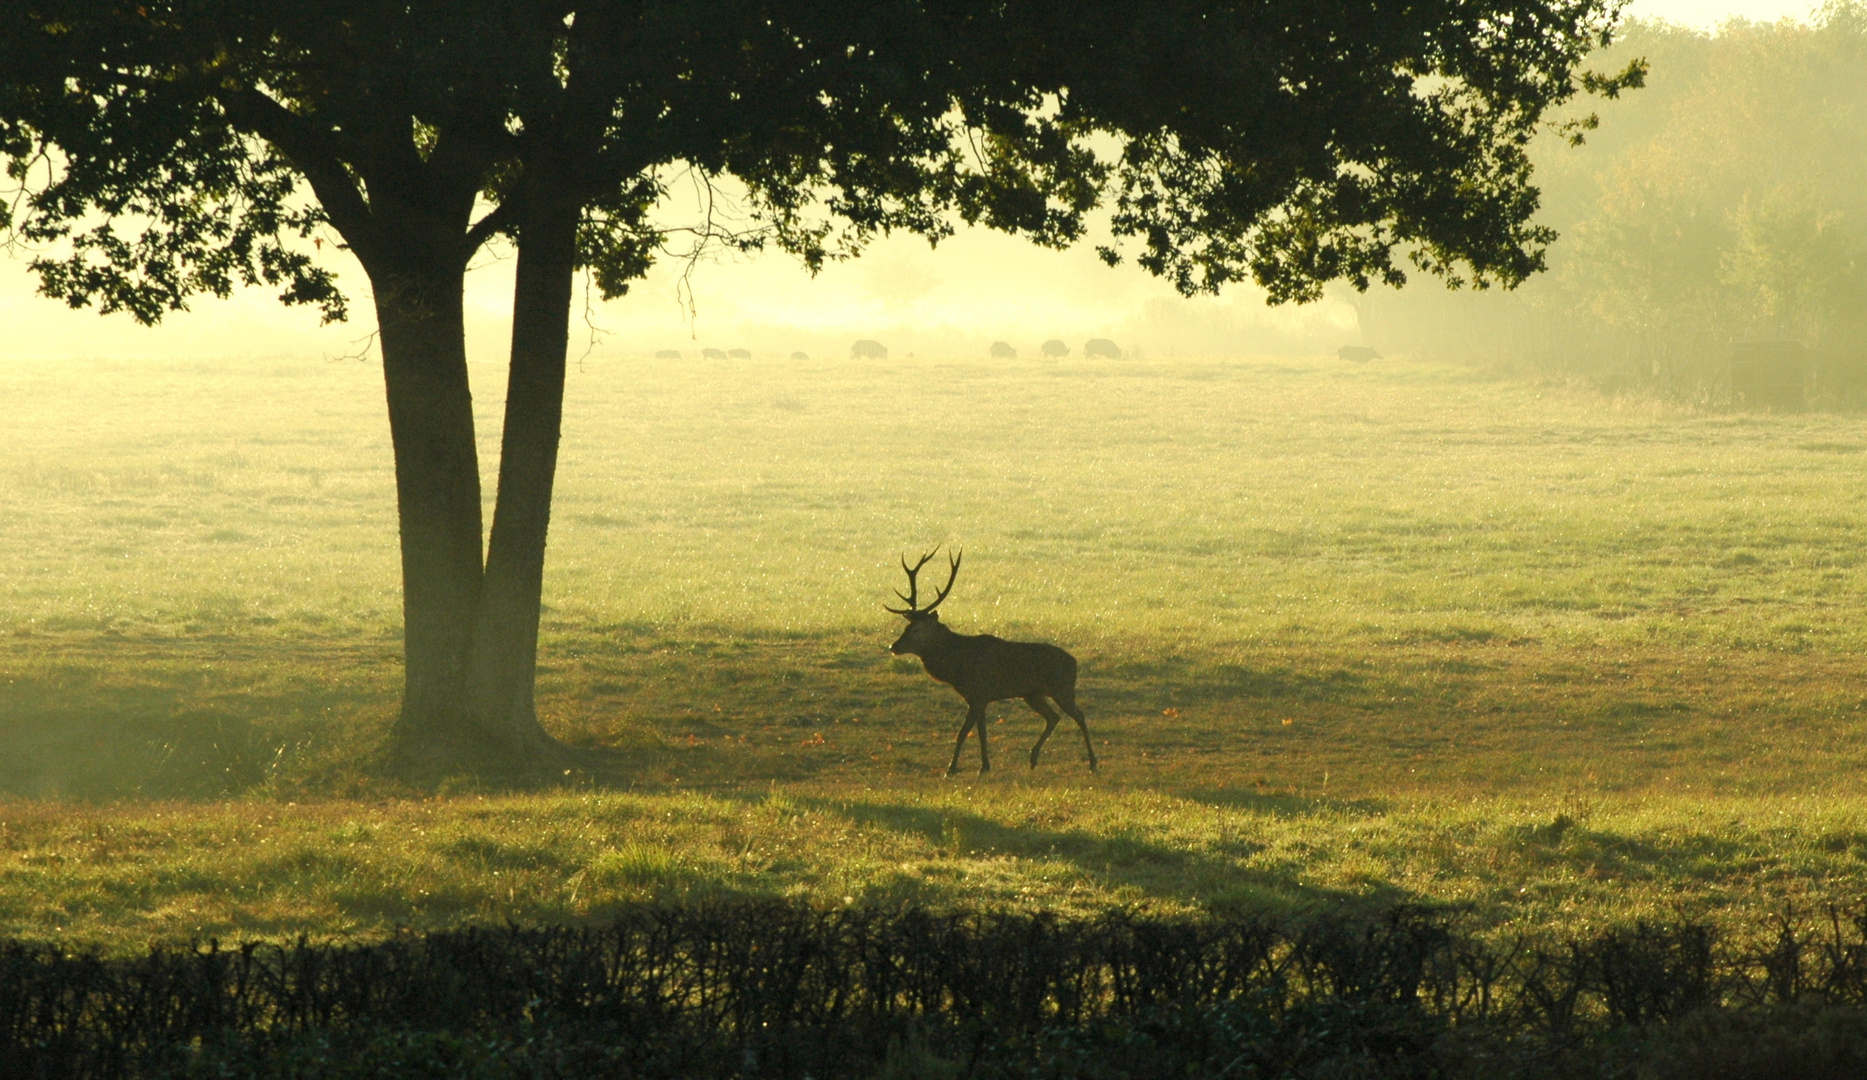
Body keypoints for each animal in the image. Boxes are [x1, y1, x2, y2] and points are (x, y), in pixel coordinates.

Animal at [884, 545, 1090, 773]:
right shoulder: (979, 698)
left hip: (1062, 689)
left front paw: (951, 769)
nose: (894, 646)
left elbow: (963, 732)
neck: (957, 666)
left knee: (1080, 716)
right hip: (1032, 694)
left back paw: (1093, 763)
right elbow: (981, 732)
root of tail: (1074, 662)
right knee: (1053, 716)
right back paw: (1033, 758)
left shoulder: (978, 693)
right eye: (906, 626)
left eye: (917, 629)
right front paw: (984, 766)